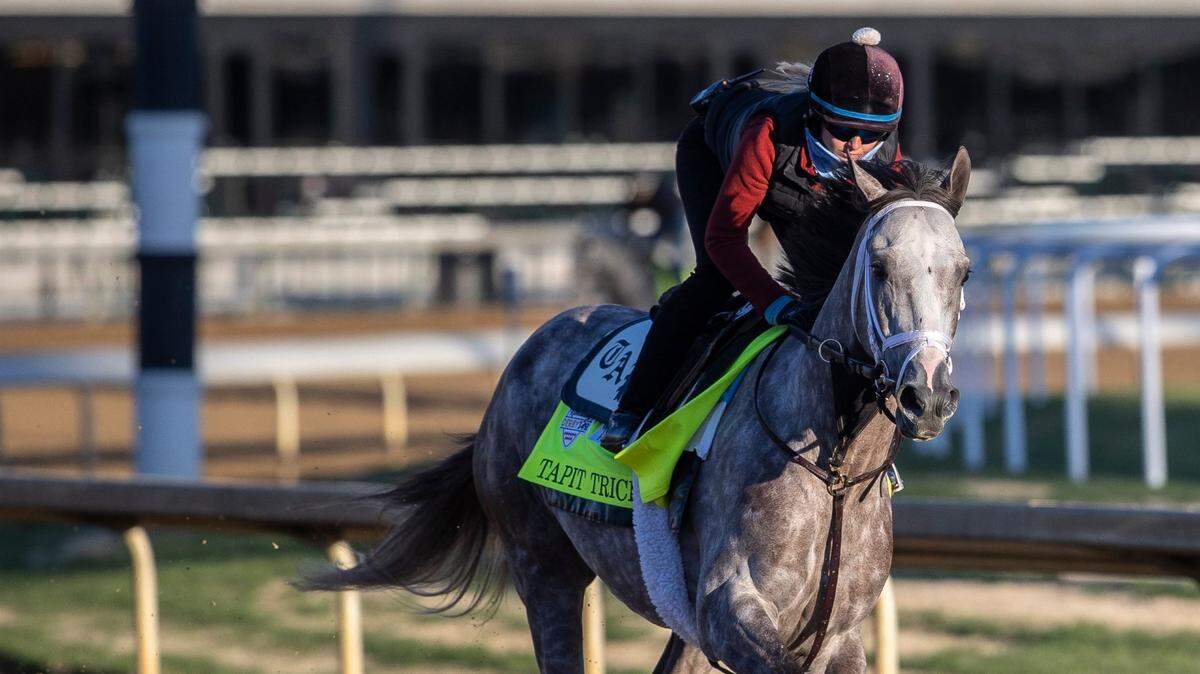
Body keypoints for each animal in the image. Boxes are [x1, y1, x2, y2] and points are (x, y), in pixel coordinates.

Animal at [305, 149, 972, 673]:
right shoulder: (729, 609)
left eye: (963, 272)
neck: (834, 467)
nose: (927, 395)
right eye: (879, 266)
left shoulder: (835, 637)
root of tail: (526, 354)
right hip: (542, 565)